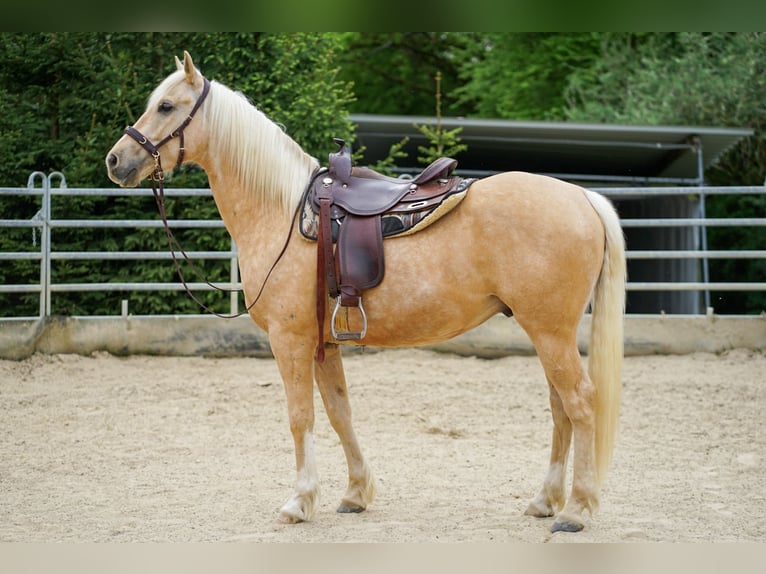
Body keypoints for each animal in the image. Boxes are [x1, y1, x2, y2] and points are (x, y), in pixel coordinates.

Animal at [106, 51, 626, 533]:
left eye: (167, 105)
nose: (116, 160)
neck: (283, 211)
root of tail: (582, 197)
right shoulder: (322, 343)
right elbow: (340, 413)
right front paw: (356, 493)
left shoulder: (289, 341)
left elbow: (301, 417)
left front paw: (300, 501)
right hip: (546, 333)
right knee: (561, 410)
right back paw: (545, 501)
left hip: (550, 333)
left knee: (580, 404)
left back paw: (575, 510)